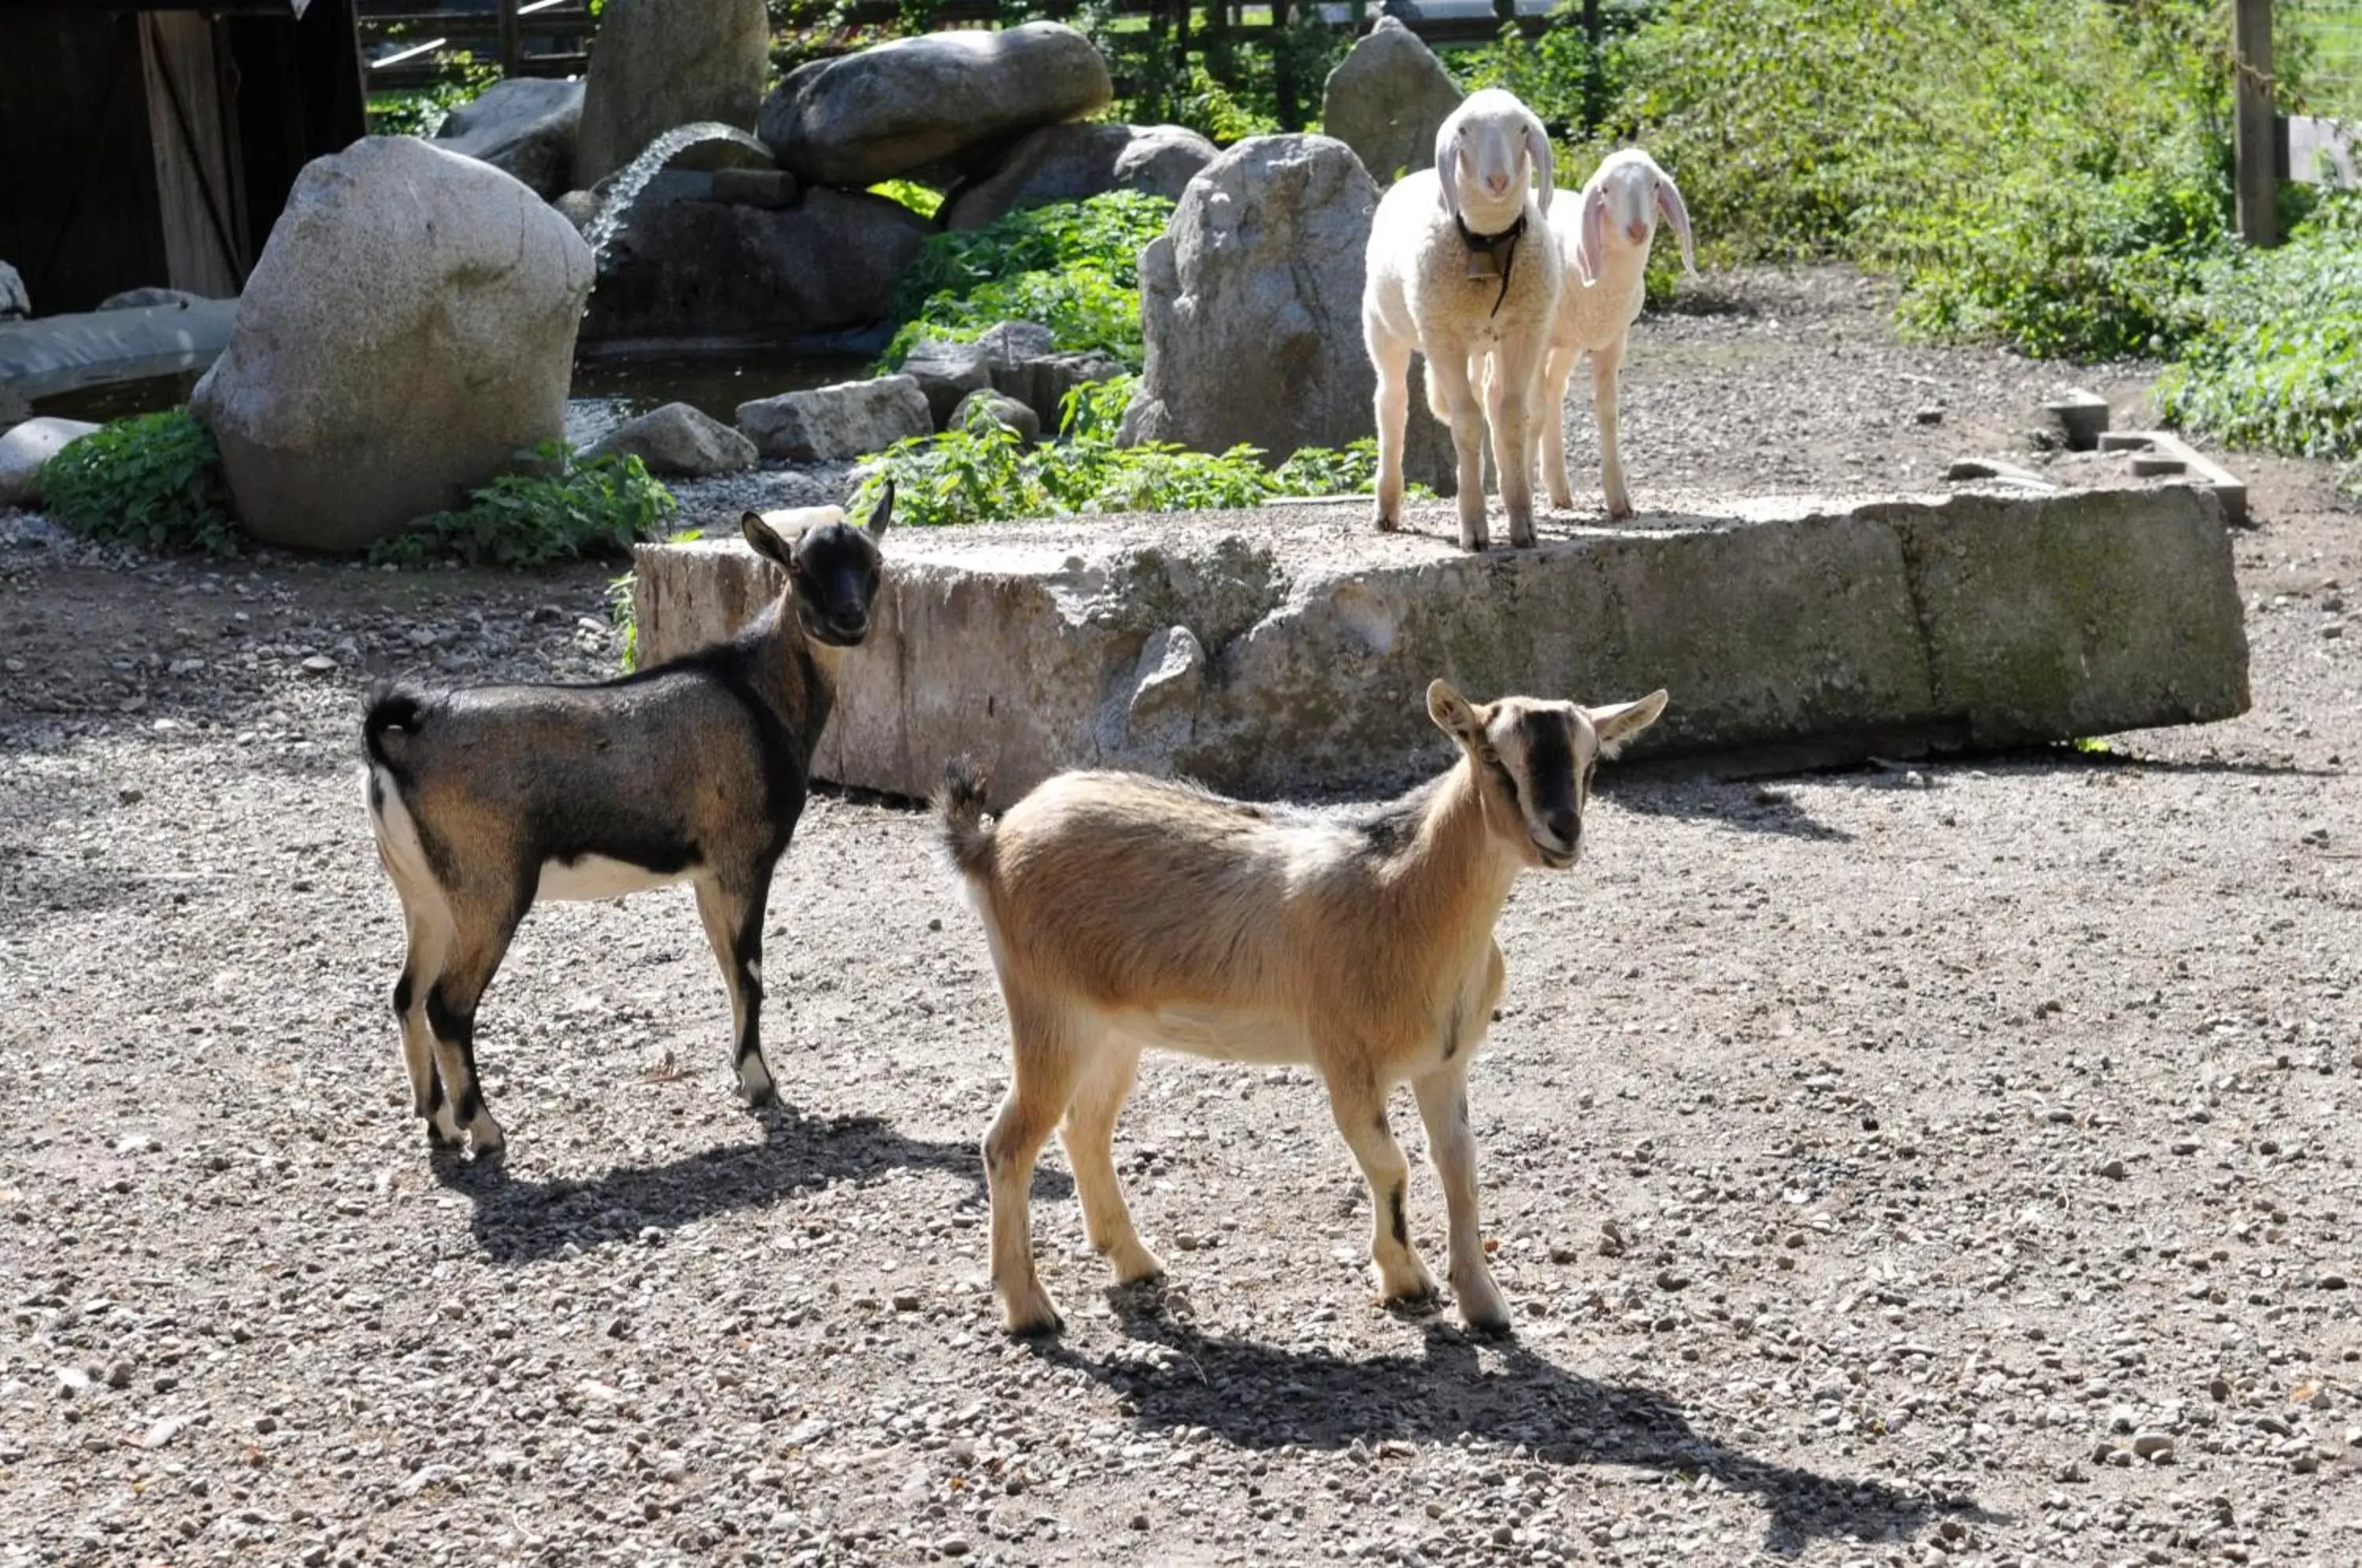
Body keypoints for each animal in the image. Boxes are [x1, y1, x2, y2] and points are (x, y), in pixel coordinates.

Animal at [935, 680, 1663, 1332]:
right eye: (1492, 757)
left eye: (1591, 763)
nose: (1564, 832)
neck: (1405, 896)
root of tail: (991, 844)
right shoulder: (1346, 1061)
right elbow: (1391, 1164)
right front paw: (1406, 1280)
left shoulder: (1444, 1063)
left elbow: (1459, 1167)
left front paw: (1484, 1305)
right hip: (1050, 1014)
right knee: (1008, 1144)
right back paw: (1030, 1310)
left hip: (1114, 1031)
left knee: (1083, 1127)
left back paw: (1136, 1261)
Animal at [1370, 88, 1568, 550]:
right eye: (1463, 131)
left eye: (1523, 128)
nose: (1497, 181)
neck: (1489, 241)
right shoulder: (1442, 338)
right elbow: (1464, 424)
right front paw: (1474, 528)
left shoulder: (1524, 332)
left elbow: (1511, 420)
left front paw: (1522, 522)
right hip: (1384, 328)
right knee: (1392, 404)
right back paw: (1387, 507)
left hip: (1486, 344)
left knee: (1491, 402)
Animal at [1512, 145, 1701, 520]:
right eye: (1606, 190)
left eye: (1655, 185)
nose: (1638, 228)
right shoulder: (1538, 339)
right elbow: (1533, 413)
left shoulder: (1614, 341)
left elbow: (1608, 412)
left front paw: (1619, 501)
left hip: (1569, 343)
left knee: (1555, 390)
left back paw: (1560, 489)